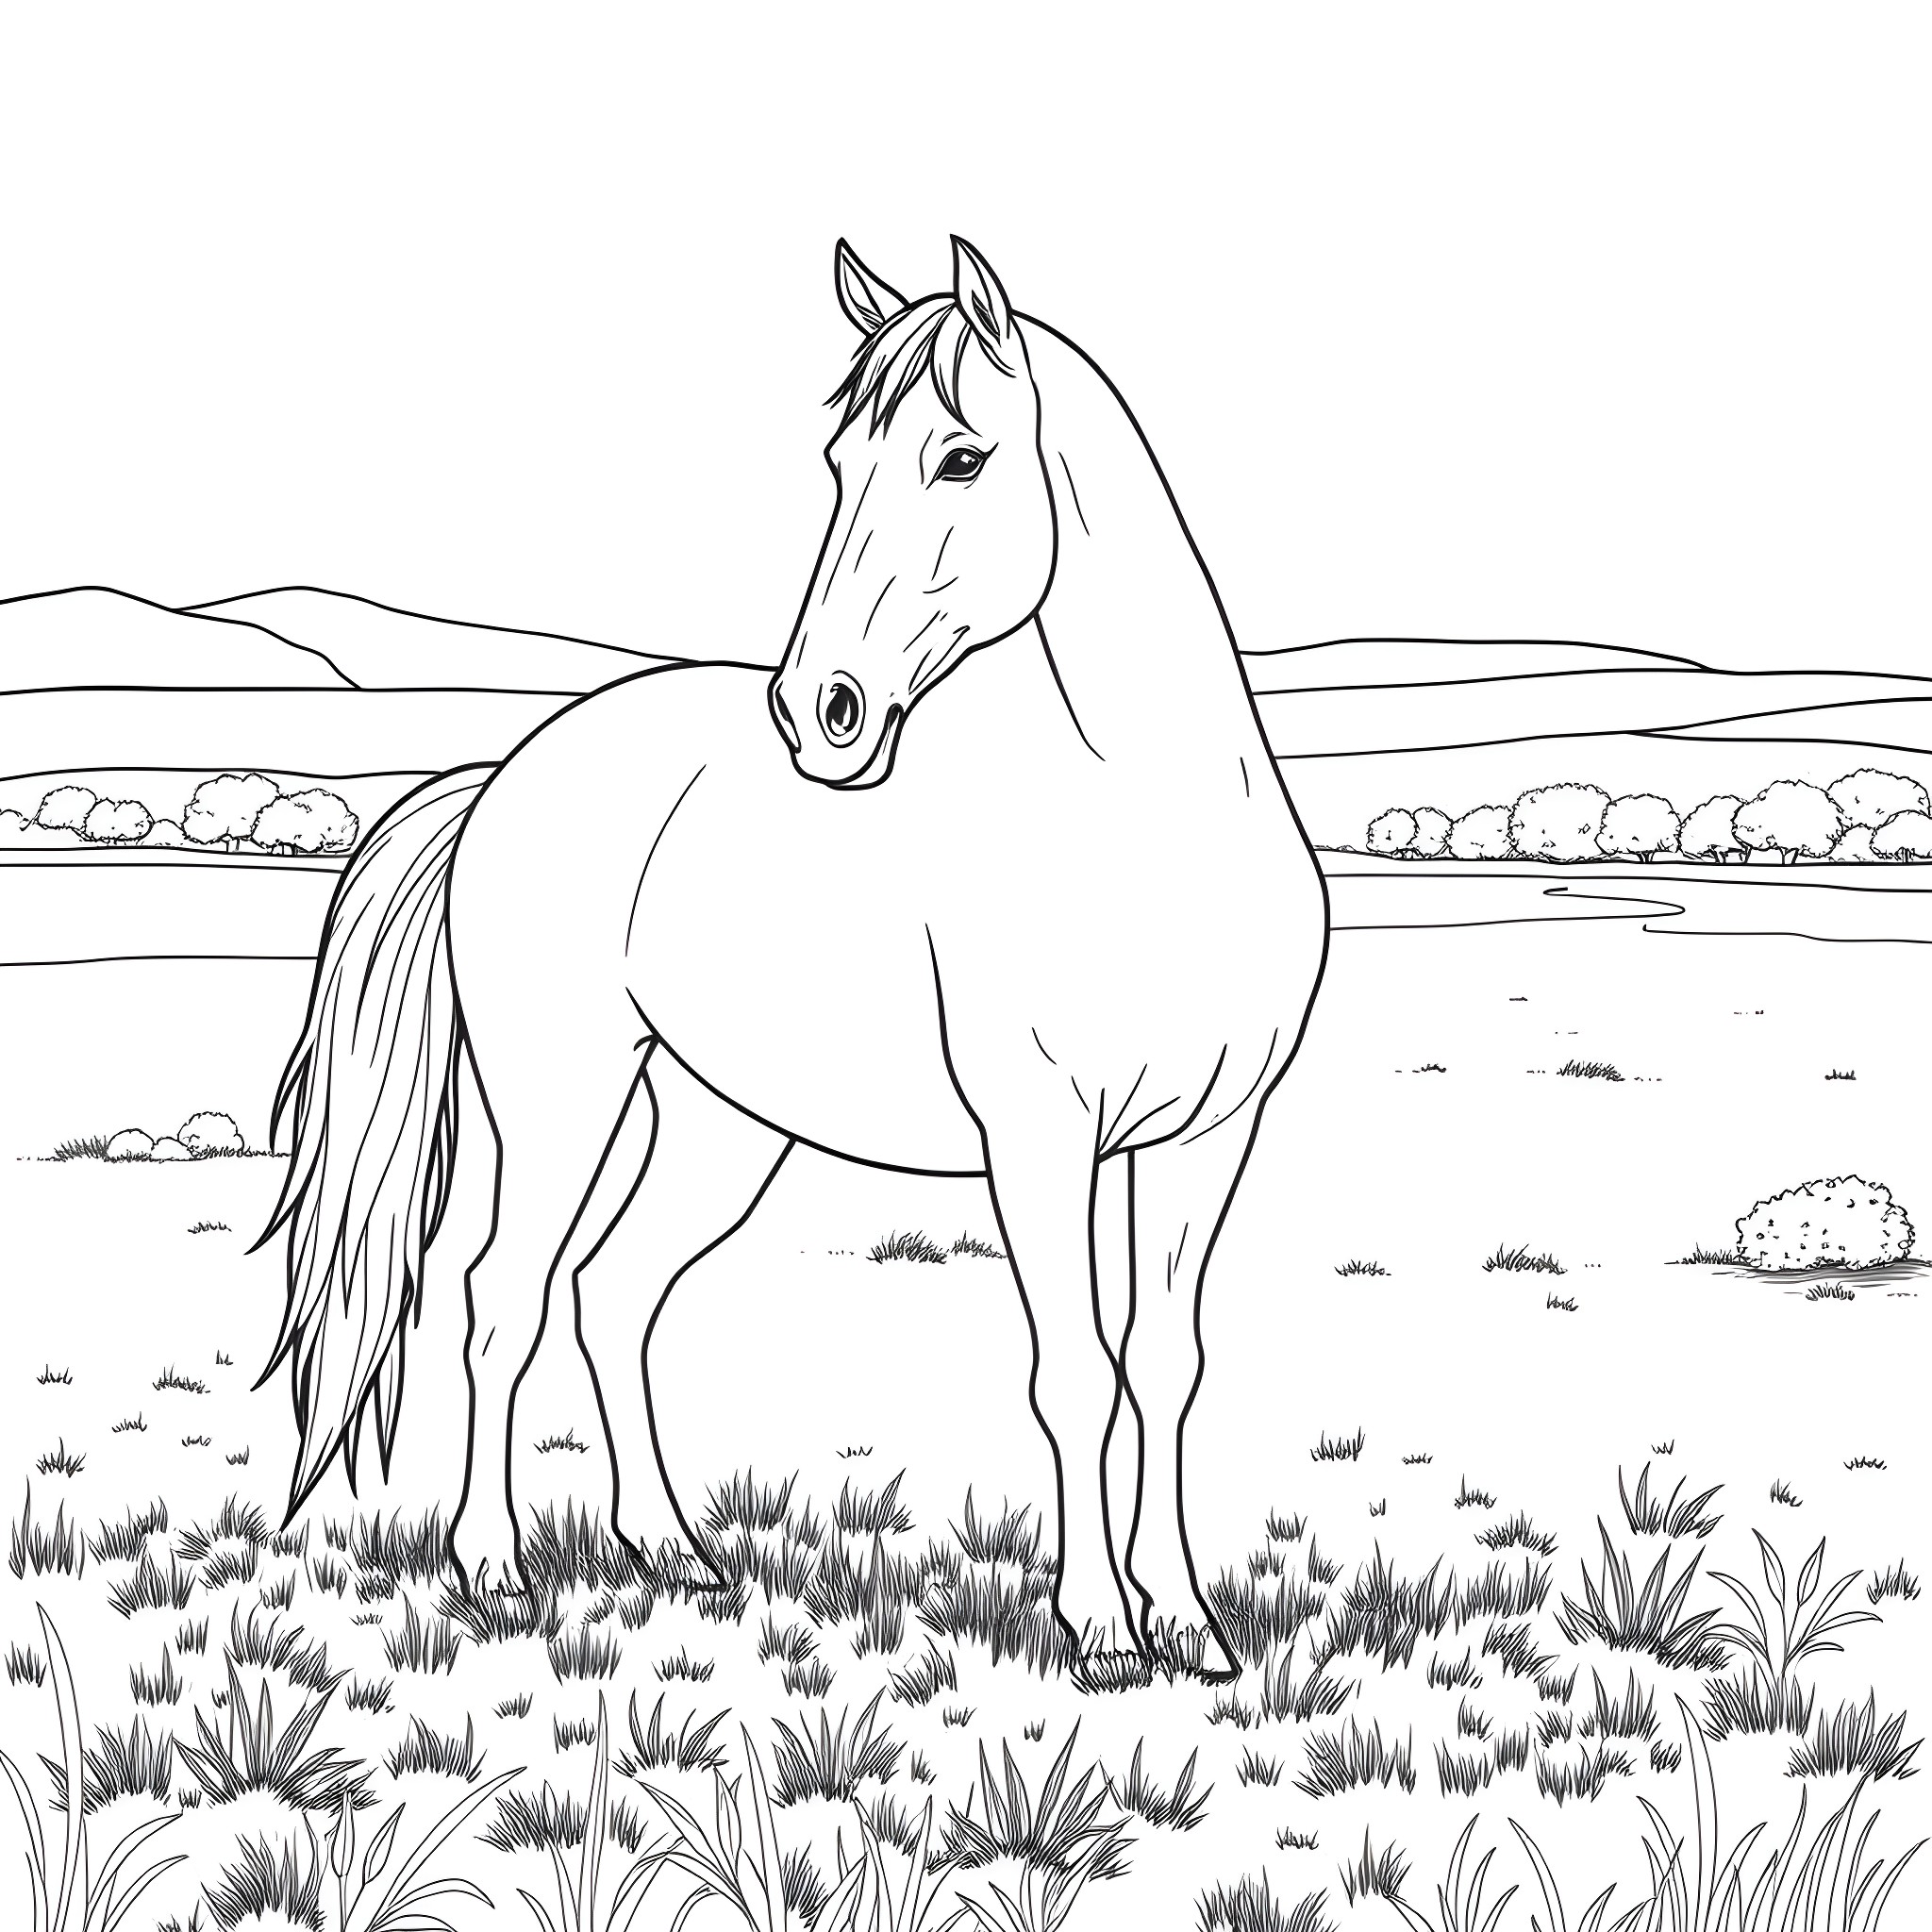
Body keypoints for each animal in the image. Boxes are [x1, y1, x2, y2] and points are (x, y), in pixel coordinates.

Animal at [262, 237, 1330, 1676]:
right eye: (839, 463)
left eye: (961, 458)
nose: (821, 711)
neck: (1143, 836)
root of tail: (504, 776)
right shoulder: (1040, 1139)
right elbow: (1073, 1370)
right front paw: (1101, 1626)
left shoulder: (1209, 1135)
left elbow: (1164, 1363)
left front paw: (1191, 1625)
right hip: (561, 1100)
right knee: (502, 1297)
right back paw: (489, 1565)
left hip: (720, 1123)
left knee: (614, 1292)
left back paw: (672, 1549)